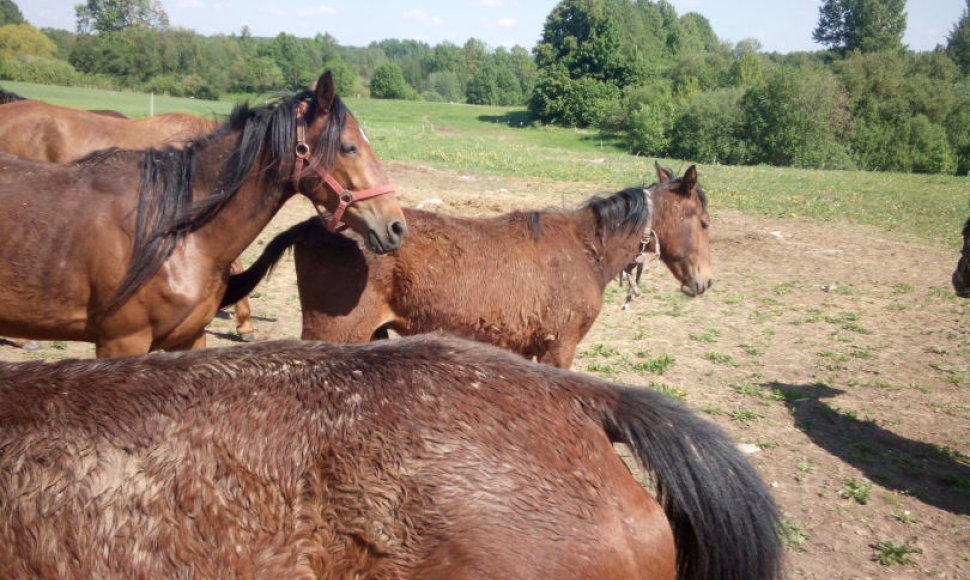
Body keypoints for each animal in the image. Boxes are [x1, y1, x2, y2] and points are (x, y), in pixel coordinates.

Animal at [221, 165, 712, 370]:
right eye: (705, 222)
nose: (704, 282)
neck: (582, 249)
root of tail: (315, 223)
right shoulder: (560, 347)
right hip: (337, 333)